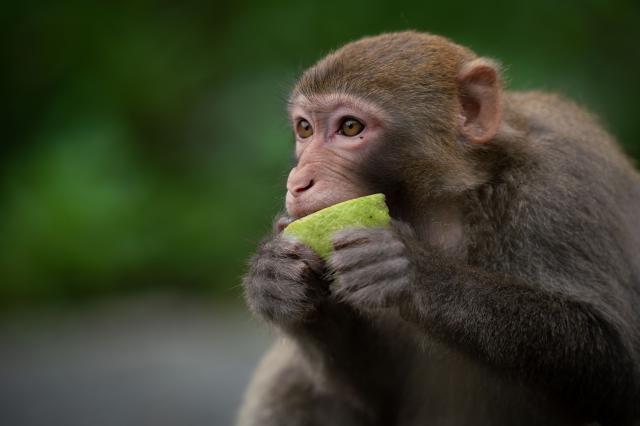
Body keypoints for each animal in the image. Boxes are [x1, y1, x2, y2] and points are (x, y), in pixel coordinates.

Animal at [236, 30, 640, 426]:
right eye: (305, 128)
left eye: (350, 127)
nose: (298, 182)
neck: (445, 205)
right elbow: (377, 394)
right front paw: (274, 276)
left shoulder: (563, 186)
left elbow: (616, 366)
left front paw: (412, 270)